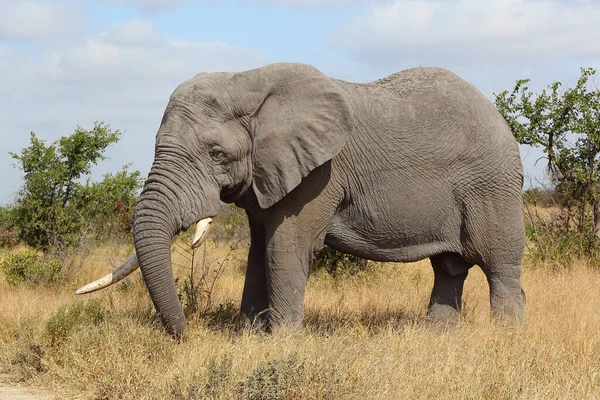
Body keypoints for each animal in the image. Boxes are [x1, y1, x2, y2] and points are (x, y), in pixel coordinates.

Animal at [77, 63, 528, 338]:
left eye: (217, 154)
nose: (186, 336)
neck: (247, 80)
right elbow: (259, 249)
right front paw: (248, 337)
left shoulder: (319, 174)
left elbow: (285, 248)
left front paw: (282, 342)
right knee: (449, 269)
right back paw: (438, 337)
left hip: (493, 186)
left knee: (498, 265)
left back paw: (505, 338)